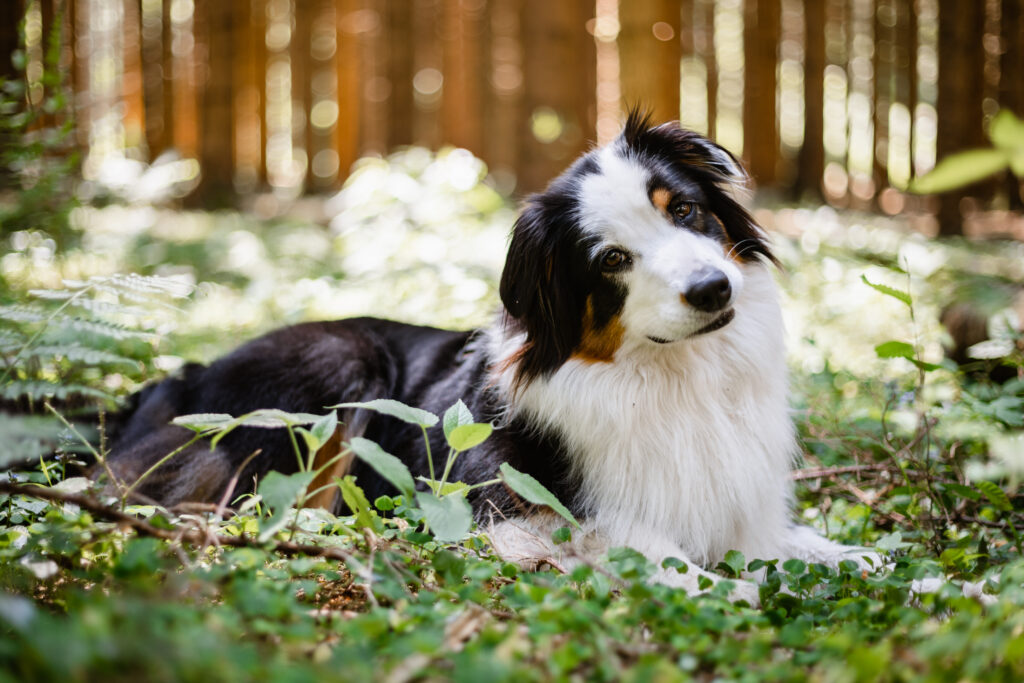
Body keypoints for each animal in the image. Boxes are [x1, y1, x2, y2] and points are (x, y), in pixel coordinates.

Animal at [101, 113, 872, 602]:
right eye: (612, 260)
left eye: (682, 209)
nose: (713, 289)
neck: (675, 377)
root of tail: (185, 377)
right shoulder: (508, 510)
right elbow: (653, 553)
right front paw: (733, 587)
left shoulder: (744, 509)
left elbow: (808, 548)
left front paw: (882, 563)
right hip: (336, 365)